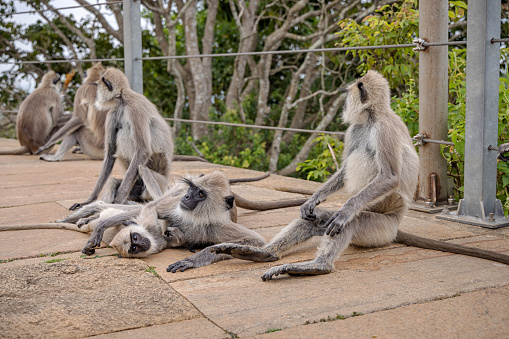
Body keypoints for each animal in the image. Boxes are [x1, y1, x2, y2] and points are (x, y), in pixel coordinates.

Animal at [68, 66, 174, 210]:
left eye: (98, 87)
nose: (96, 96)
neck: (123, 100)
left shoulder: (135, 108)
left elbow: (143, 150)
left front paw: (118, 199)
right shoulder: (113, 113)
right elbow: (110, 153)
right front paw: (89, 200)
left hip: (160, 182)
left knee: (141, 164)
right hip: (137, 186)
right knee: (114, 179)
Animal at [208, 69, 508, 282]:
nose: (343, 102)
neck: (374, 115)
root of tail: (395, 228)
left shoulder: (382, 128)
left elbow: (389, 177)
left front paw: (344, 211)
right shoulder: (356, 128)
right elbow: (341, 173)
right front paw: (311, 200)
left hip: (379, 227)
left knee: (350, 221)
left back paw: (318, 265)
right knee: (316, 220)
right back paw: (266, 253)